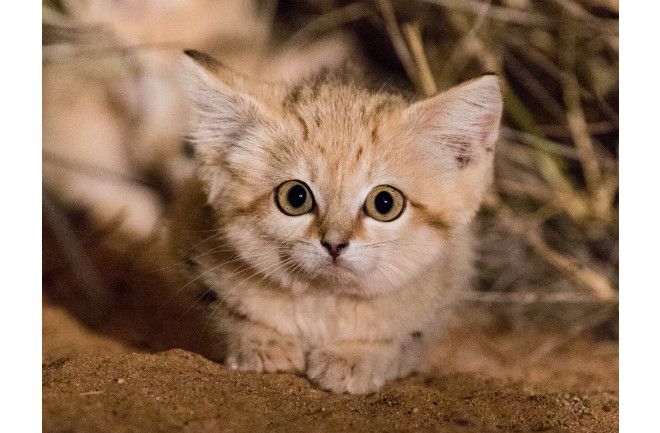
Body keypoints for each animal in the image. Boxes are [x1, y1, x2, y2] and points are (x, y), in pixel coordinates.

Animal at [174, 49, 500, 394]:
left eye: (385, 203)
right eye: (295, 197)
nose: (334, 244)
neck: (325, 302)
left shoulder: (444, 291)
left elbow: (399, 340)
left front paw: (354, 356)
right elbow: (227, 315)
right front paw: (261, 342)